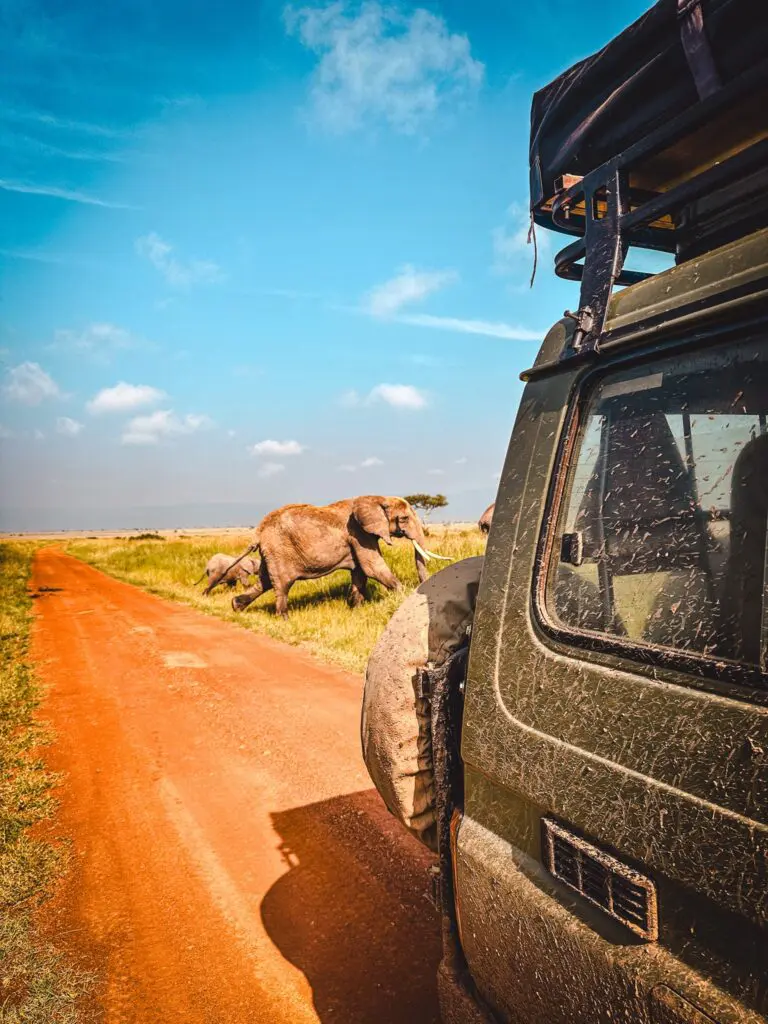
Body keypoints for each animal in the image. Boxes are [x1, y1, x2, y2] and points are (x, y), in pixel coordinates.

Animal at [227, 495, 450, 617]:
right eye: (403, 519)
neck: (378, 498)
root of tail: (258, 532)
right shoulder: (359, 533)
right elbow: (373, 567)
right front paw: (403, 598)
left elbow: (360, 573)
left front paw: (356, 610)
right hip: (279, 550)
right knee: (281, 584)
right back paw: (284, 619)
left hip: (271, 553)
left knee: (264, 582)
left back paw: (236, 607)